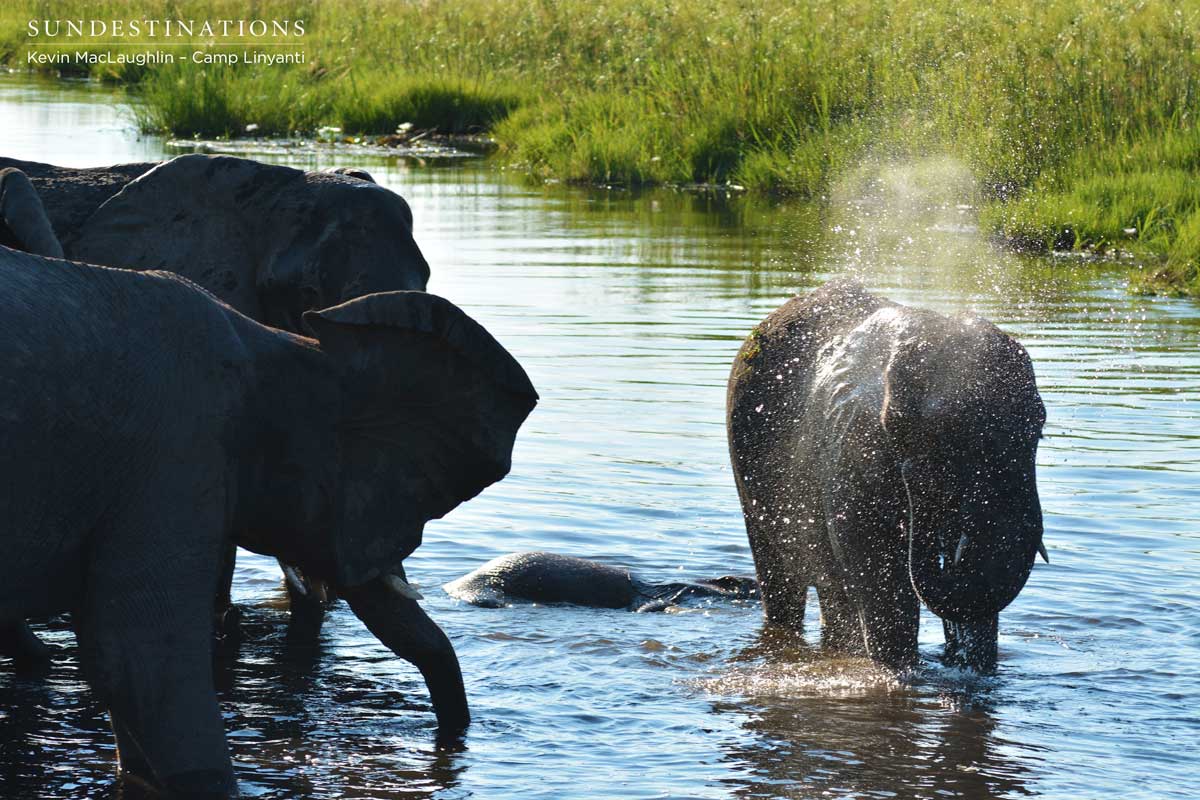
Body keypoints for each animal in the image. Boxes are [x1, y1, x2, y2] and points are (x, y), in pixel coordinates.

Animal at [724, 280, 1046, 671]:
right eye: (914, 432)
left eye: (1040, 431)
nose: (914, 478)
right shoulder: (849, 445)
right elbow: (886, 589)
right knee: (781, 578)